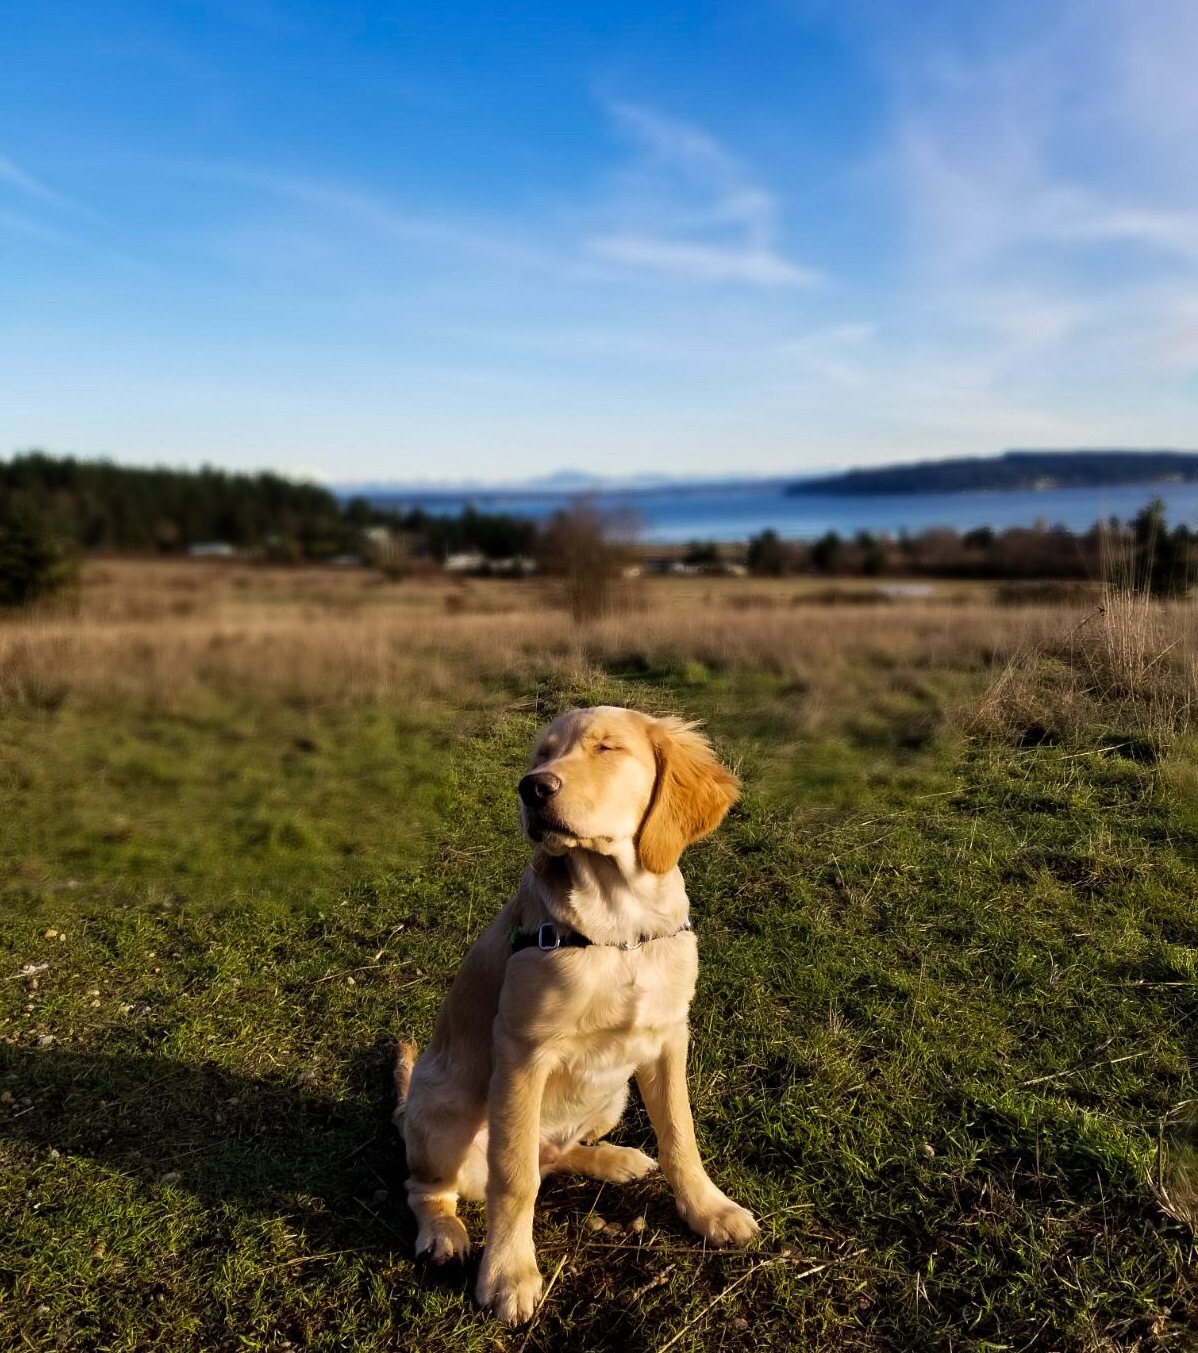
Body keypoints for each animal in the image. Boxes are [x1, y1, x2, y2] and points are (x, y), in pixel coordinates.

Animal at [400, 708, 758, 1320]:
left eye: (606, 749)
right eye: (542, 755)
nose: (532, 788)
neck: (620, 926)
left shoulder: (668, 1038)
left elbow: (680, 1135)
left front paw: (708, 1209)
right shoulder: (522, 1050)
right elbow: (513, 1176)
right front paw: (509, 1273)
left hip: (612, 1096)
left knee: (555, 1155)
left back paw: (613, 1161)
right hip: (440, 1117)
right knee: (436, 1186)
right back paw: (445, 1233)